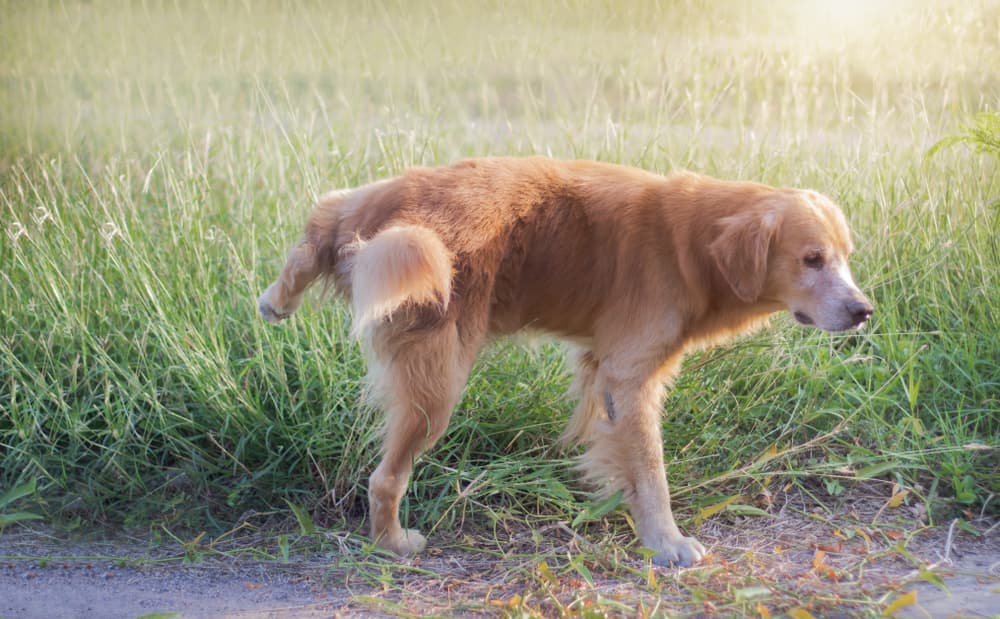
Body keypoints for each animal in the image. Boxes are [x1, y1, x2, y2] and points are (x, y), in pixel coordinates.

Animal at [260, 159, 876, 568]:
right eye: (812, 259)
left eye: (845, 258)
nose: (863, 311)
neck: (690, 244)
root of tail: (401, 217)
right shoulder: (631, 376)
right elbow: (651, 471)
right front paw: (667, 541)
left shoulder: (602, 368)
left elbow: (616, 454)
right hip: (437, 388)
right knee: (385, 477)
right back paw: (391, 542)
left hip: (365, 209)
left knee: (324, 214)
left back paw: (276, 299)